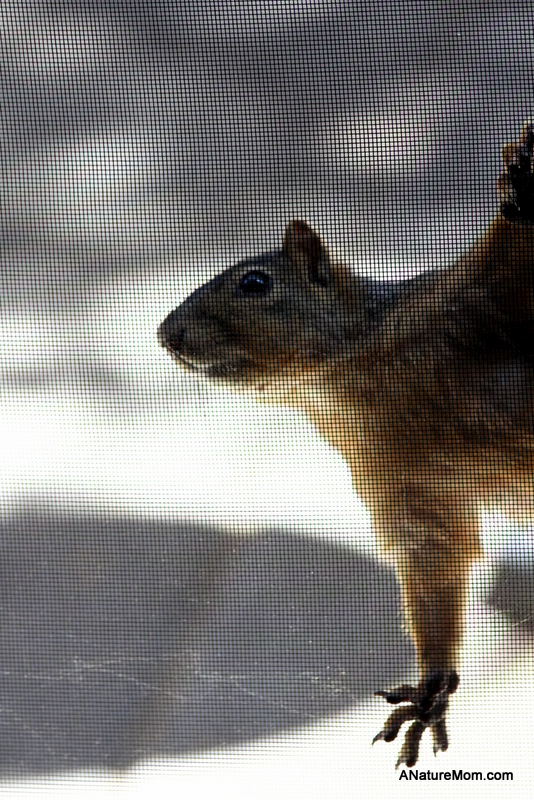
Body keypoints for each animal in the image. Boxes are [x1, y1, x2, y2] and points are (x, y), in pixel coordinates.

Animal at [158, 120, 534, 768]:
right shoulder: (400, 482)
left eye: (254, 283)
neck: (341, 381)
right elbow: (434, 554)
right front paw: (432, 687)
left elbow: (514, 261)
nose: (165, 334)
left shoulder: (471, 303)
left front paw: (522, 179)